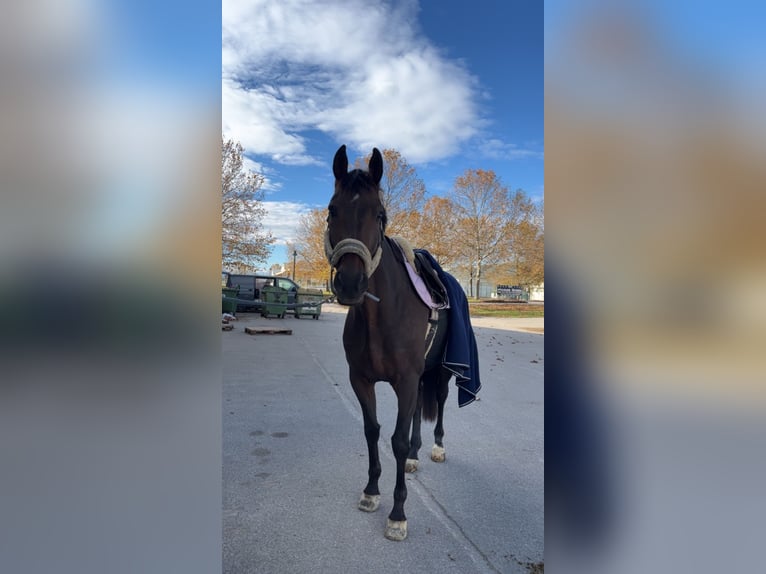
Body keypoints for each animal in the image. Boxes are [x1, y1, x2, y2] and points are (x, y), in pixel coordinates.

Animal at [328, 146, 452, 544]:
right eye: (332, 210)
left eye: (380, 214)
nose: (350, 283)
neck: (380, 316)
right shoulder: (362, 380)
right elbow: (373, 431)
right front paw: (371, 491)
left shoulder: (407, 380)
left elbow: (395, 440)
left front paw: (398, 514)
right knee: (415, 416)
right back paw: (414, 455)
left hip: (440, 373)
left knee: (440, 405)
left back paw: (436, 448)